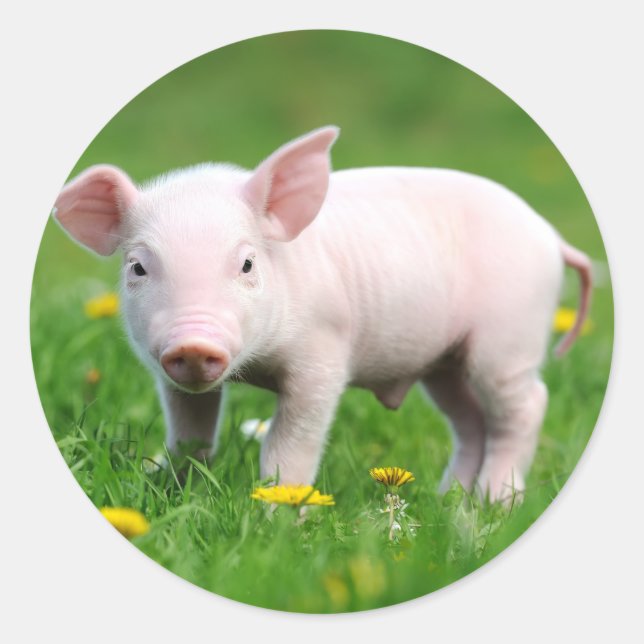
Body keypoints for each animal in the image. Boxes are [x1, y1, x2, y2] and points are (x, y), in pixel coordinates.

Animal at [53, 126, 592, 502]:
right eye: (138, 267)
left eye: (247, 263)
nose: (193, 342)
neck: (256, 365)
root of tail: (551, 236)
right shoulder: (170, 377)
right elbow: (190, 433)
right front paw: (167, 487)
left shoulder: (323, 355)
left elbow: (289, 445)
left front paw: (278, 514)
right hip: (445, 363)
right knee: (471, 422)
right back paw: (447, 502)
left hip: (509, 338)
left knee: (527, 405)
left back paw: (494, 503)